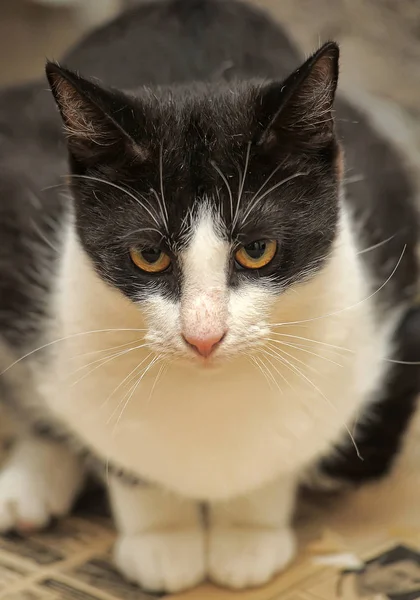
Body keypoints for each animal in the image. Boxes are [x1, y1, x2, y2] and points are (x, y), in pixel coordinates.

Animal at [0, 0, 420, 592]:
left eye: (258, 249)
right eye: (148, 255)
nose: (203, 335)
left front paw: (248, 532)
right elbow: (112, 440)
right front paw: (162, 538)